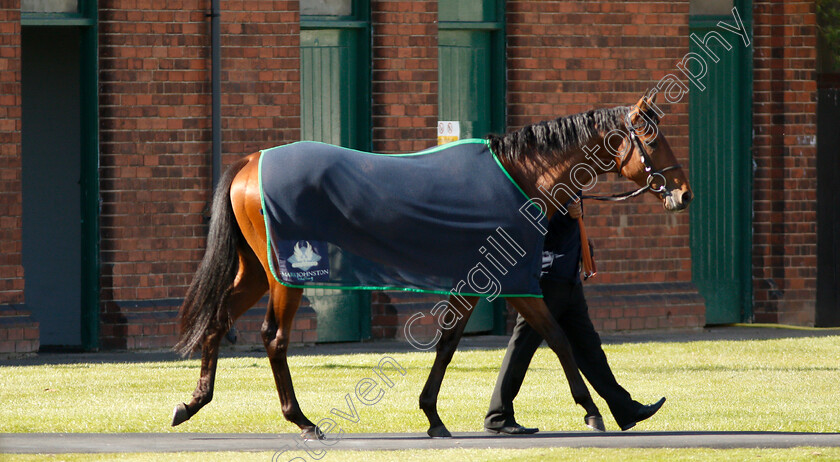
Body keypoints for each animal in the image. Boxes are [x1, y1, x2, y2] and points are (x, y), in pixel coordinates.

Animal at [169, 95, 688, 438]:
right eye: (652, 138)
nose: (683, 194)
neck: (519, 177)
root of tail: (251, 161)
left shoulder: (475, 283)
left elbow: (449, 343)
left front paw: (434, 416)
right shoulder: (516, 282)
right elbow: (558, 337)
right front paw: (592, 410)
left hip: (259, 270)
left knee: (218, 319)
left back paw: (193, 403)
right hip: (287, 275)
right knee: (274, 339)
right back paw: (303, 420)